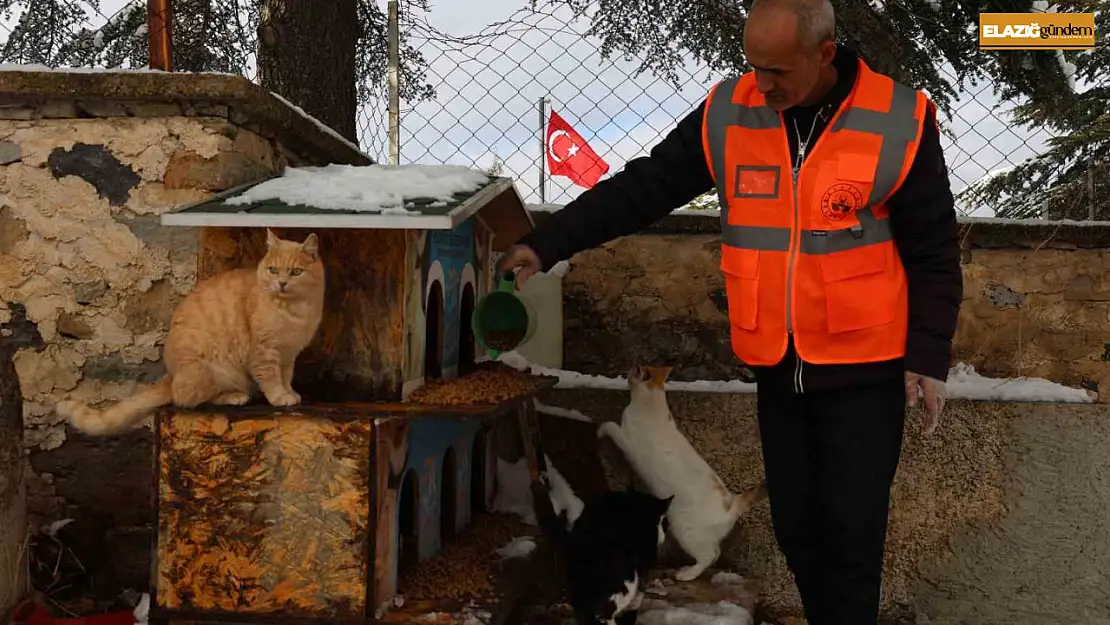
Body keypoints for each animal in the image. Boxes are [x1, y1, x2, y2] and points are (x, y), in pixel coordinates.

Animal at [57, 228, 324, 435]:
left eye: (296, 272)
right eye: (273, 270)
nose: (281, 283)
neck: (293, 310)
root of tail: (171, 375)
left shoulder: (288, 355)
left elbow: (286, 377)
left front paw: (290, 392)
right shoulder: (264, 352)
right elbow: (271, 379)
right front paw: (280, 397)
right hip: (213, 370)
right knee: (188, 399)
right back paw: (234, 396)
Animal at [532, 455, 670, 625]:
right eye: (665, 523)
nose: (664, 533)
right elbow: (633, 606)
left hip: (579, 590)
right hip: (621, 586)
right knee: (605, 612)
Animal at [599, 364, 763, 586]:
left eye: (633, 371)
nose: (626, 374)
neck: (653, 401)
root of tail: (732, 503)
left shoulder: (626, 440)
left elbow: (610, 425)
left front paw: (599, 430)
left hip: (683, 528)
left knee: (711, 555)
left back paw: (687, 574)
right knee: (715, 552)